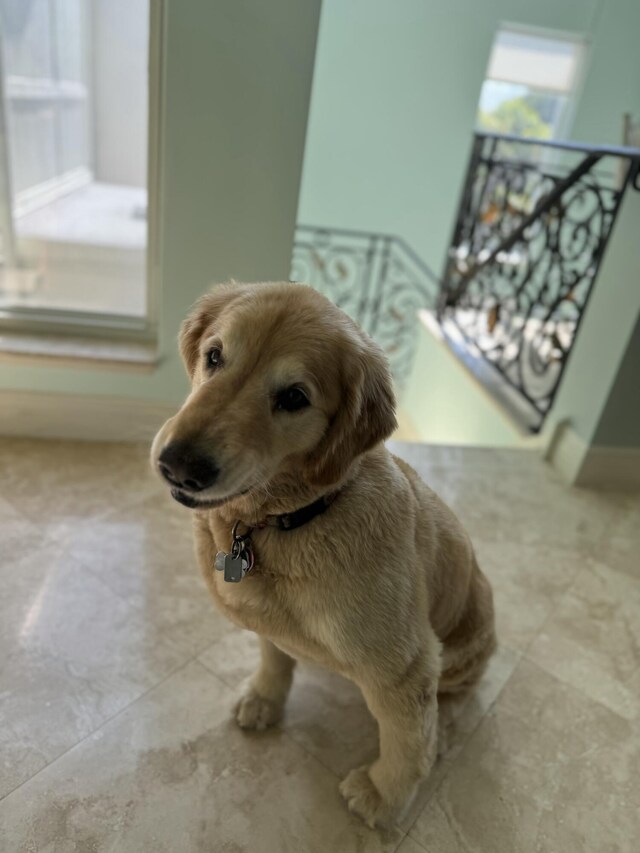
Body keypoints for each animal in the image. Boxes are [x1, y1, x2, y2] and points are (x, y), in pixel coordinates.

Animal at [150, 280, 496, 824]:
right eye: (214, 356)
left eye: (294, 397)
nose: (179, 466)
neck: (288, 519)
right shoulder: (269, 624)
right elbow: (274, 658)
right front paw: (265, 699)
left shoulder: (407, 665)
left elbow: (406, 743)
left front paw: (383, 794)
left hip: (464, 648)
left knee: (457, 698)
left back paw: (443, 732)